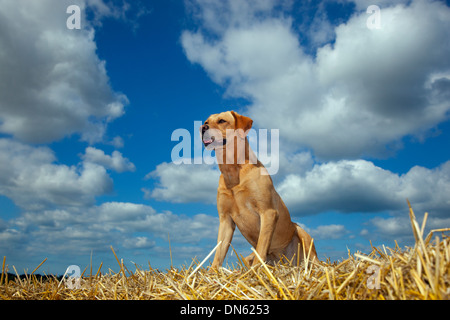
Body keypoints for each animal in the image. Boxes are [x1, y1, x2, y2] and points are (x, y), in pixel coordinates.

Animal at [200, 110, 316, 268]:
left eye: (222, 121)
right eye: (206, 121)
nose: (202, 128)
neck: (232, 171)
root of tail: (288, 263)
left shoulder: (268, 212)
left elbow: (261, 248)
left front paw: (256, 270)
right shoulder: (225, 220)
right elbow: (218, 253)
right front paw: (213, 271)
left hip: (301, 231)